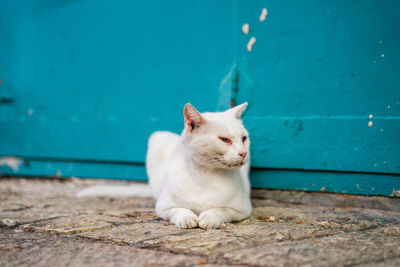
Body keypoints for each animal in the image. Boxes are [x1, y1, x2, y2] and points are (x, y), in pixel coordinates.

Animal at [76, 102, 252, 230]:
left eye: (244, 138)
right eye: (224, 140)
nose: (243, 153)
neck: (205, 174)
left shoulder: (242, 210)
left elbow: (220, 210)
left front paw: (209, 218)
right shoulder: (164, 207)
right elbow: (178, 210)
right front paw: (187, 218)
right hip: (157, 137)